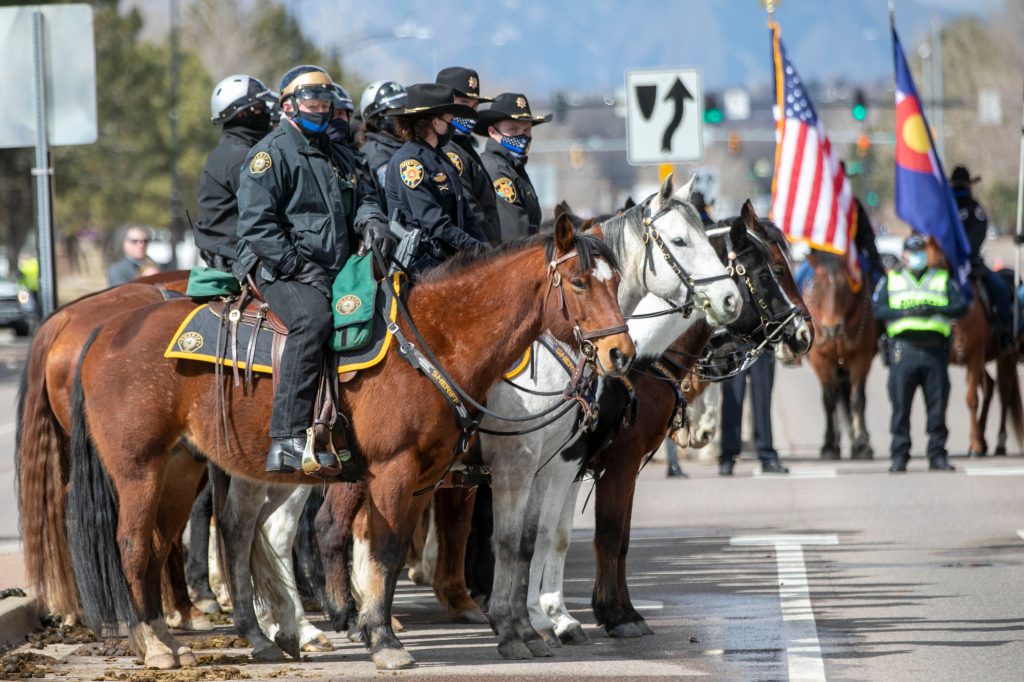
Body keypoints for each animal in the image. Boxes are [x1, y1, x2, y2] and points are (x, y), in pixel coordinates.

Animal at [64, 218, 630, 667]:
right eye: (580, 283)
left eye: (618, 281)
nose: (620, 354)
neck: (432, 340)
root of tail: (105, 329)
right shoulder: (417, 469)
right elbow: (391, 547)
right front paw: (384, 640)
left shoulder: (431, 477)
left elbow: (430, 549)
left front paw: (516, 634)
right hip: (140, 469)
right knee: (136, 544)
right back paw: (161, 645)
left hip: (186, 468)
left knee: (204, 540)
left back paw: (227, 638)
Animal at [802, 249, 876, 456]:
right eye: (818, 286)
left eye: (845, 286)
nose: (831, 328)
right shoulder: (821, 361)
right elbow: (828, 399)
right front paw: (828, 445)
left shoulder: (862, 358)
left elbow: (858, 399)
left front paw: (862, 444)